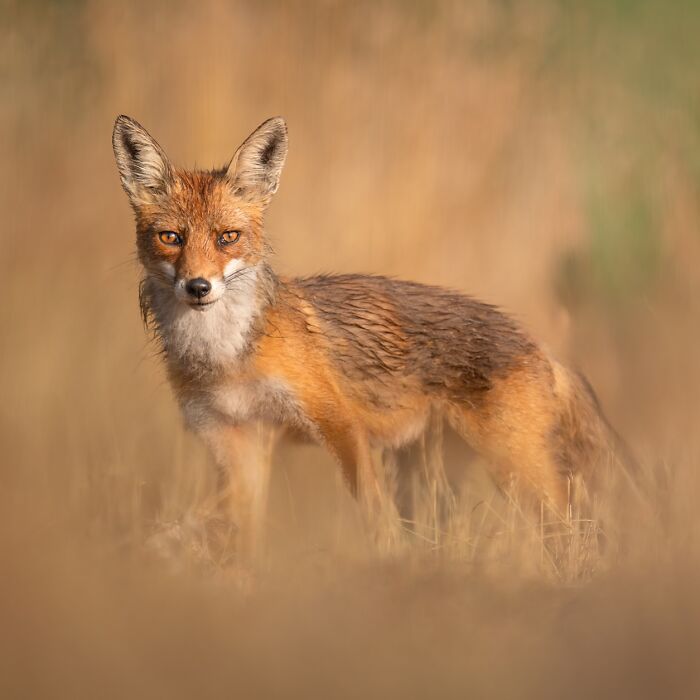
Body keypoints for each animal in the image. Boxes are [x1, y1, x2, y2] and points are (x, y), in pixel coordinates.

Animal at [112, 114, 624, 561]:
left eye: (227, 237)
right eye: (171, 238)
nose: (198, 287)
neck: (226, 359)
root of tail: (544, 349)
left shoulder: (339, 425)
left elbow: (376, 522)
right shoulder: (237, 444)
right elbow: (241, 542)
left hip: (519, 474)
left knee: (574, 536)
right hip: (430, 482)